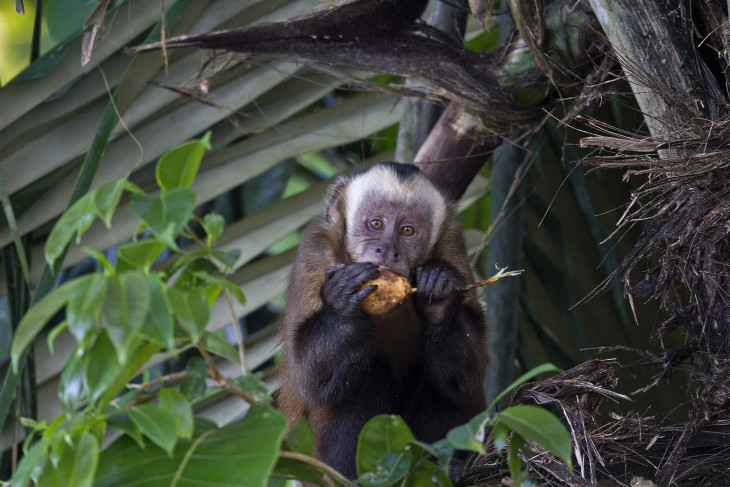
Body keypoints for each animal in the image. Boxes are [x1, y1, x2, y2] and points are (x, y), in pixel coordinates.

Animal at [276, 163, 486, 480]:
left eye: (407, 230)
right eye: (375, 224)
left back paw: (442, 465)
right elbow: (306, 379)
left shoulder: (451, 242)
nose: (387, 250)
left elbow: (472, 371)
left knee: (445, 379)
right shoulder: (315, 246)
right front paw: (343, 307)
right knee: (360, 376)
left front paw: (439, 299)